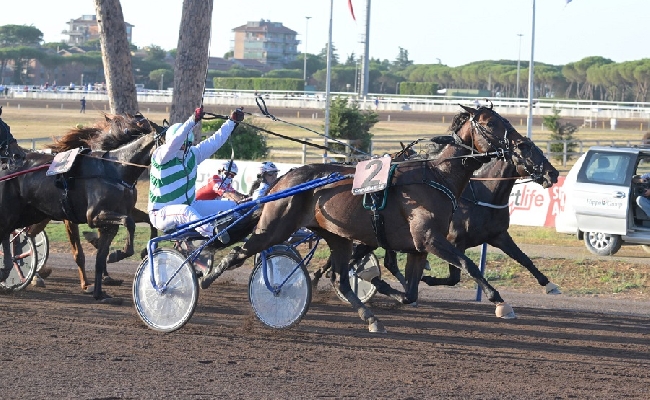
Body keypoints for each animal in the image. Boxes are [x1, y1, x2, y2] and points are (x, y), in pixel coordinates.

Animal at [0, 114, 162, 298]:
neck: (113, 168)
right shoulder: (86, 216)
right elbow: (82, 252)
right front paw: (89, 283)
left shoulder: (121, 211)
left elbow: (144, 221)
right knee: (15, 233)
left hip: (34, 214)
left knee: (23, 233)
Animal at [204, 104, 556, 332]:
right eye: (491, 123)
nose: (551, 173)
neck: (437, 177)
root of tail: (286, 177)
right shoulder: (433, 239)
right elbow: (468, 265)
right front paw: (499, 301)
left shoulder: (419, 247)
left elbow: (411, 291)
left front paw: (385, 286)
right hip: (277, 226)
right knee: (238, 252)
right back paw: (205, 277)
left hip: (338, 236)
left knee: (340, 278)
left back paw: (369, 316)